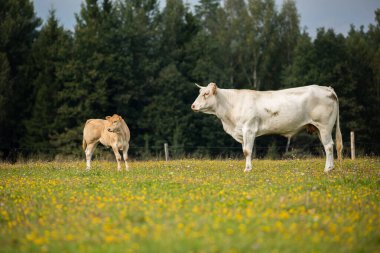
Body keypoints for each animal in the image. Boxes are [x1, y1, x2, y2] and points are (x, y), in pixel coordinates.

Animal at [191, 83, 342, 172]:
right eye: (200, 93)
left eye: (206, 94)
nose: (193, 106)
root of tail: (327, 89)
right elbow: (245, 150)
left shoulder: (249, 129)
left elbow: (247, 151)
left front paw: (247, 169)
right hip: (318, 128)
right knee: (328, 146)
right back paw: (331, 167)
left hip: (324, 125)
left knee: (329, 146)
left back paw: (327, 169)